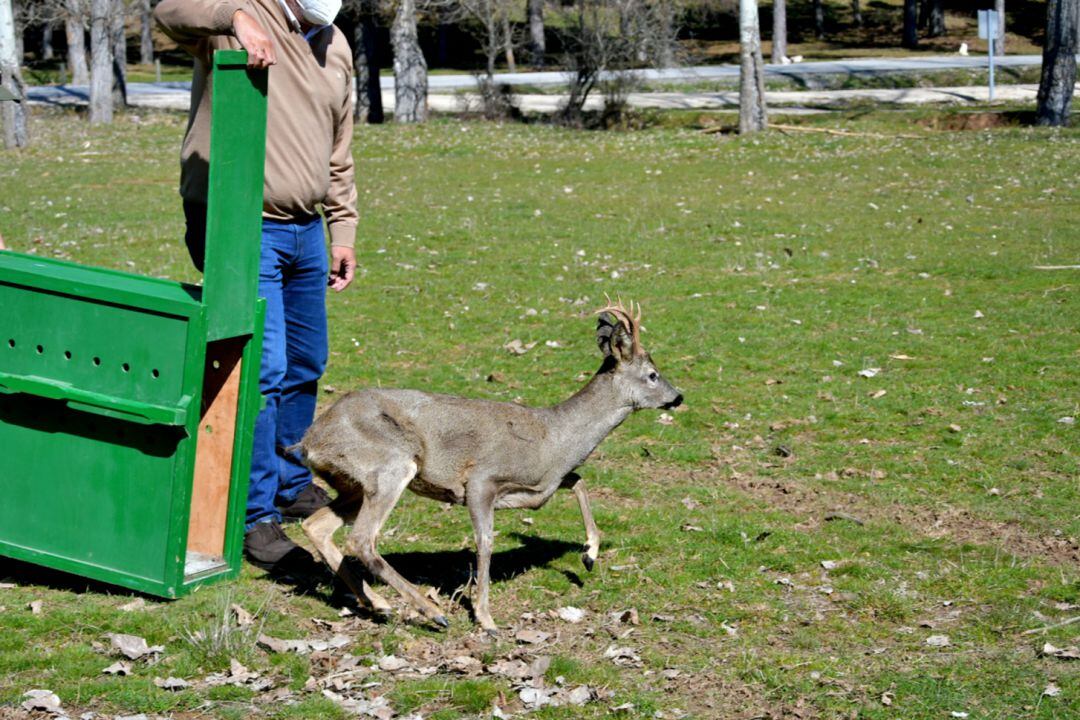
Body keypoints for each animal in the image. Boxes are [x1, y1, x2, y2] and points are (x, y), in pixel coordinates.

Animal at [300, 297, 678, 630]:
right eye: (652, 374)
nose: (678, 397)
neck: (553, 437)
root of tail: (309, 442)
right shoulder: (481, 479)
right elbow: (485, 543)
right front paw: (485, 617)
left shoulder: (540, 485)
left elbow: (578, 479)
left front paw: (590, 554)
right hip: (391, 466)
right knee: (362, 540)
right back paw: (431, 612)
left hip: (352, 483)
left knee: (316, 526)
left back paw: (379, 603)